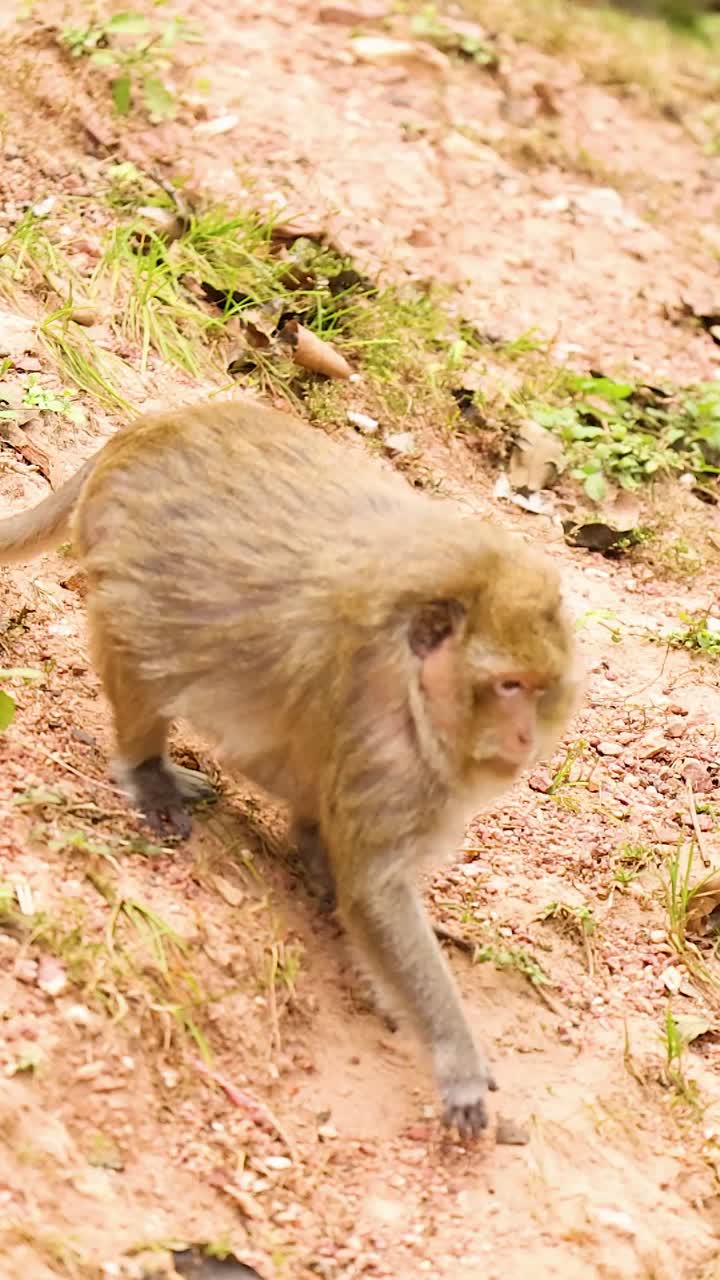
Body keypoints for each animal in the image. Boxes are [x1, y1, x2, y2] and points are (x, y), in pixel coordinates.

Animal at [0, 398, 579, 1137]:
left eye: (541, 688)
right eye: (508, 686)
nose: (525, 735)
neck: (412, 676)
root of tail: (147, 428)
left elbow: (329, 842)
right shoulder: (386, 744)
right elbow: (375, 891)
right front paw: (456, 1057)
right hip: (123, 541)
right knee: (143, 643)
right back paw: (146, 767)